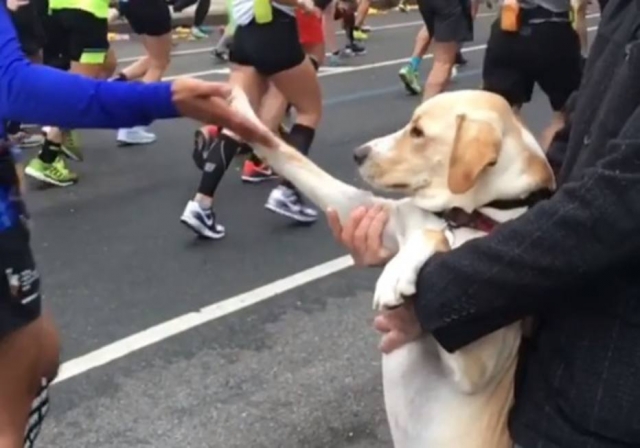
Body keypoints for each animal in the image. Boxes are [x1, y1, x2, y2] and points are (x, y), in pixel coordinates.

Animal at [229, 88, 556, 448]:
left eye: (418, 132)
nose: (358, 154)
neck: (465, 215)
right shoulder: (367, 208)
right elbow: (295, 160)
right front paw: (239, 113)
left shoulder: (477, 366)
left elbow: (432, 236)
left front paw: (396, 274)